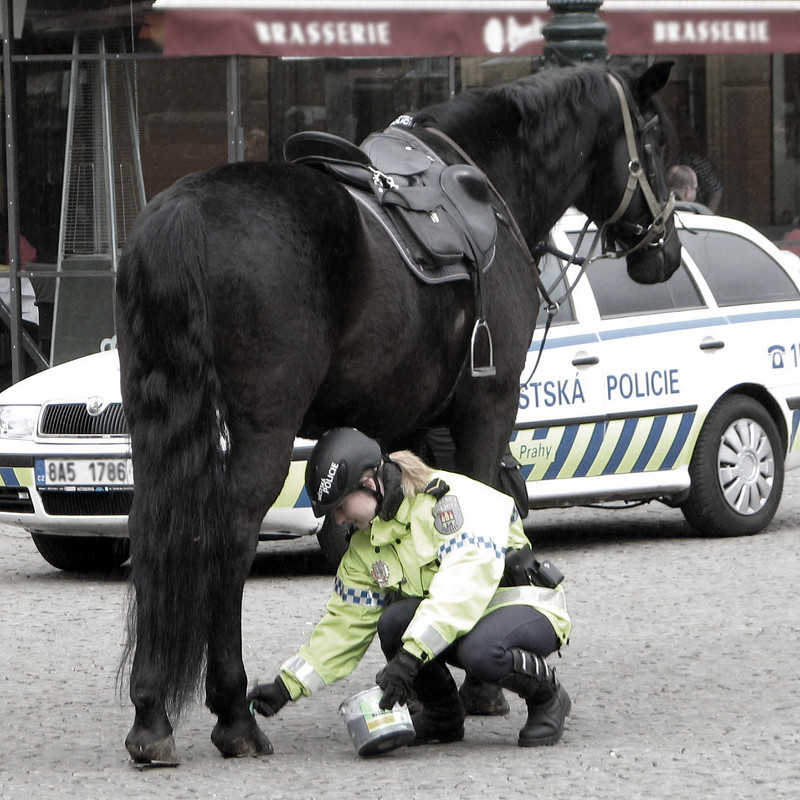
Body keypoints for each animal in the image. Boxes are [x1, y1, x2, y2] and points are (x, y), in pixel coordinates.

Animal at [117, 62, 680, 764]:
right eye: (654, 140)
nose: (665, 250)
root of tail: (184, 211)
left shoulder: (410, 423)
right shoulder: (487, 406)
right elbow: (488, 507)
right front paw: (481, 689)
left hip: (154, 424)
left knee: (152, 530)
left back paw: (150, 716)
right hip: (262, 430)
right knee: (229, 539)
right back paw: (234, 716)